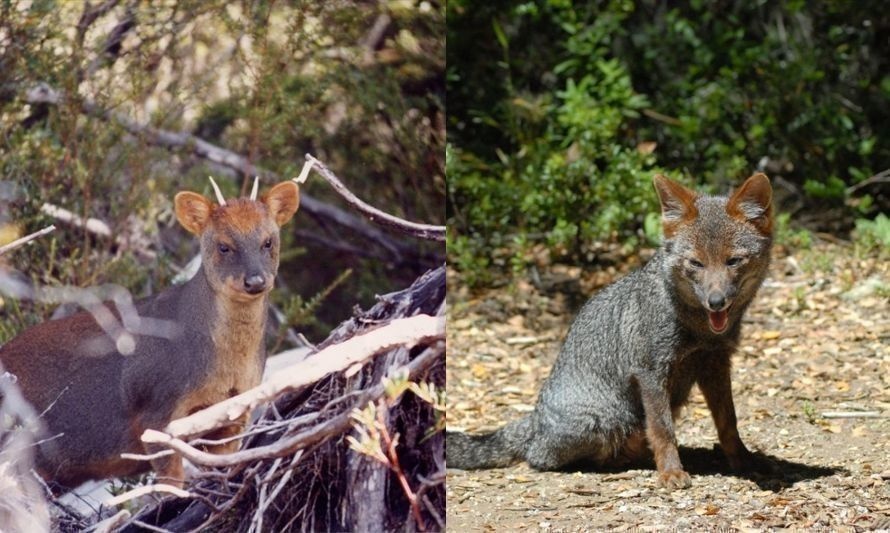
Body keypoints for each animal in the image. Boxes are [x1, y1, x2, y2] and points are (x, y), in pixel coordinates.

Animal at [0, 178, 300, 490]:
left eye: (268, 241)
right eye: (223, 246)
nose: (255, 280)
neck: (223, 367)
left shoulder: (235, 411)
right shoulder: (154, 410)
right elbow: (170, 485)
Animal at [448, 174, 772, 486]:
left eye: (733, 261)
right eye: (696, 263)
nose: (716, 302)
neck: (699, 330)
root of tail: (536, 418)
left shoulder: (716, 364)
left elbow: (728, 422)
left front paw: (743, 460)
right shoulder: (650, 371)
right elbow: (662, 429)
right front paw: (670, 472)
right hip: (605, 420)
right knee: (538, 456)